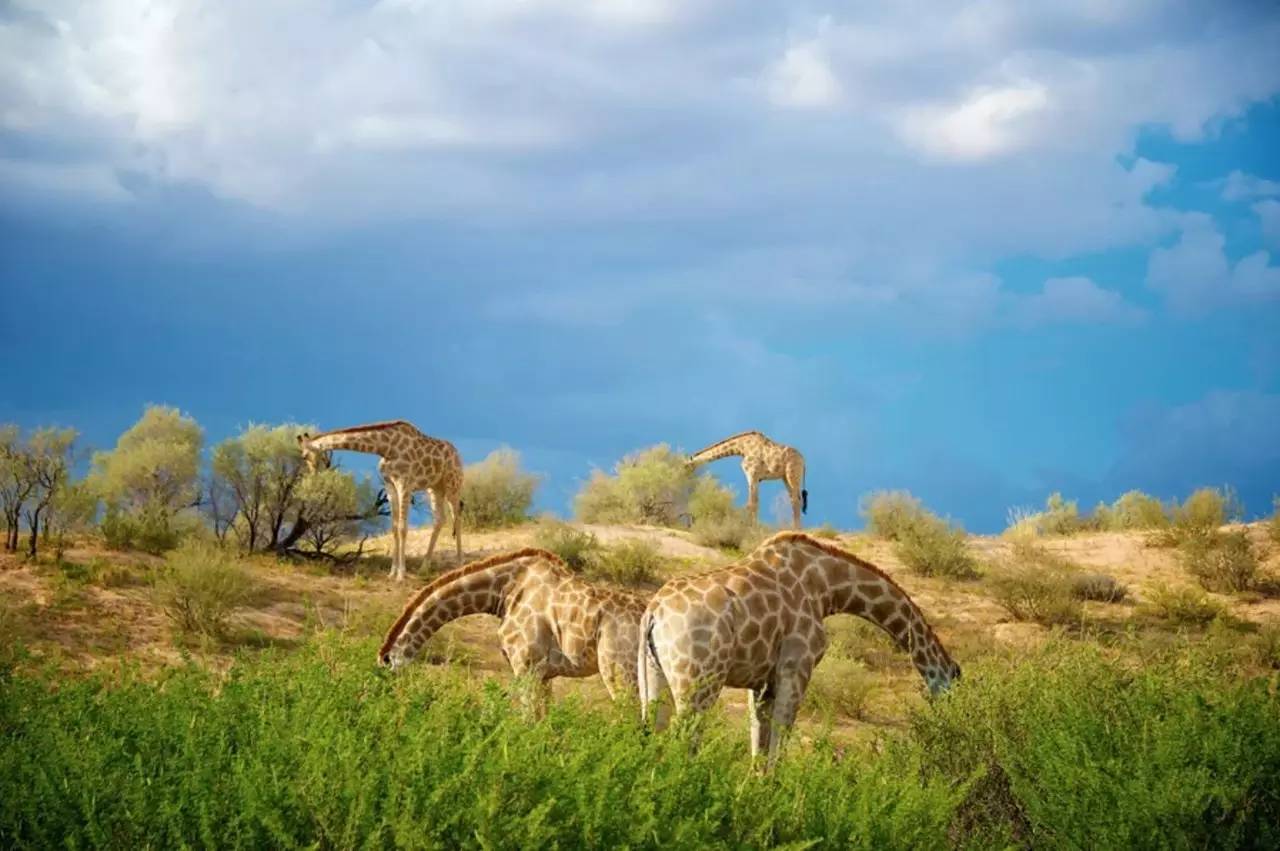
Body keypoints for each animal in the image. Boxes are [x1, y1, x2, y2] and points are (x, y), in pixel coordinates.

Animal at [296, 419, 463, 580]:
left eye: (304, 456)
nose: (313, 475)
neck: (386, 448)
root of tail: (457, 455)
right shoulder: (390, 486)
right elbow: (394, 528)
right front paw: (392, 573)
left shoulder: (404, 484)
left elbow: (402, 528)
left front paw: (401, 574)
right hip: (435, 488)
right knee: (440, 519)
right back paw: (424, 568)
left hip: (452, 484)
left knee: (456, 516)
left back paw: (459, 564)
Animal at [376, 547, 660, 711]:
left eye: (389, 674)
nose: (394, 705)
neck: (501, 592)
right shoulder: (543, 674)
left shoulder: (526, 667)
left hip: (620, 671)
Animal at [640, 532, 962, 762]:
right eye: (953, 689)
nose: (948, 729)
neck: (828, 588)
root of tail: (654, 612)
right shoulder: (796, 669)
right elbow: (778, 749)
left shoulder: (761, 683)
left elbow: (759, 752)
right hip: (699, 681)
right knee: (682, 743)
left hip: (654, 676)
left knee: (651, 736)